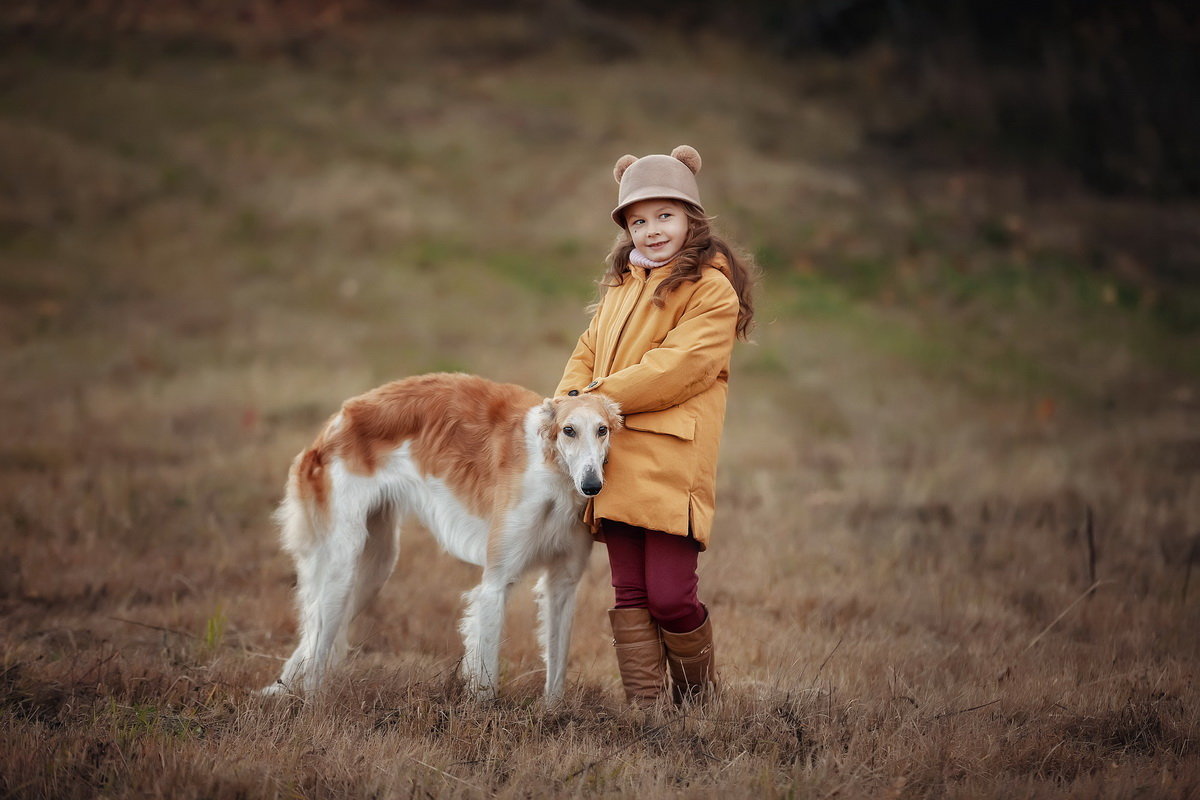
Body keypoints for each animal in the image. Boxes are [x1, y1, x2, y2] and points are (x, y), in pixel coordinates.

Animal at [262, 374, 619, 700]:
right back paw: (311, 707)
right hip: (342, 567)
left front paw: (553, 714)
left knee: (311, 641)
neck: (553, 471)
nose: (591, 486)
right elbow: (486, 682)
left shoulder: (563, 583)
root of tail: (334, 423)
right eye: (569, 430)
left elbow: (556, 670)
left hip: (373, 567)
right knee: (316, 653)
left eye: (602, 430)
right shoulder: (495, 584)